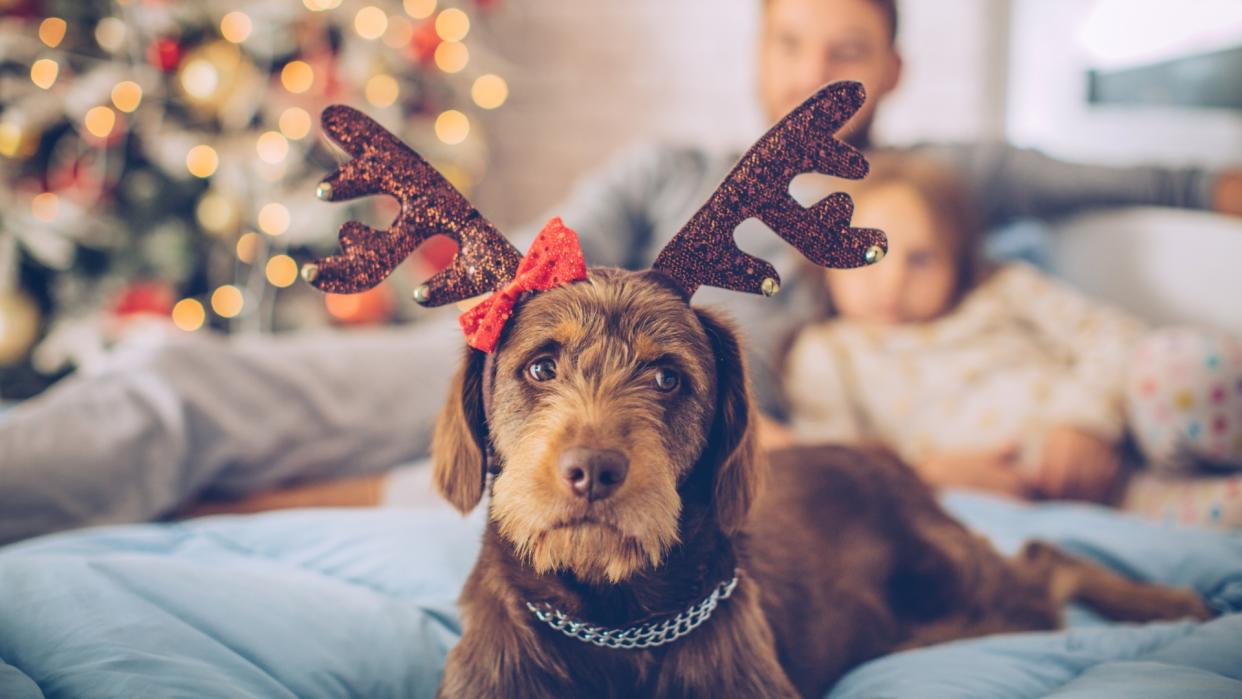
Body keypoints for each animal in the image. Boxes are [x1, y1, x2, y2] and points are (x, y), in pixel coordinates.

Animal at [429, 269, 1212, 699]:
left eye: (667, 377)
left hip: (968, 591)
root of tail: (888, 461)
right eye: (540, 366)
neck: (613, 620)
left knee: (1048, 562)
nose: (593, 469)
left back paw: (1167, 601)